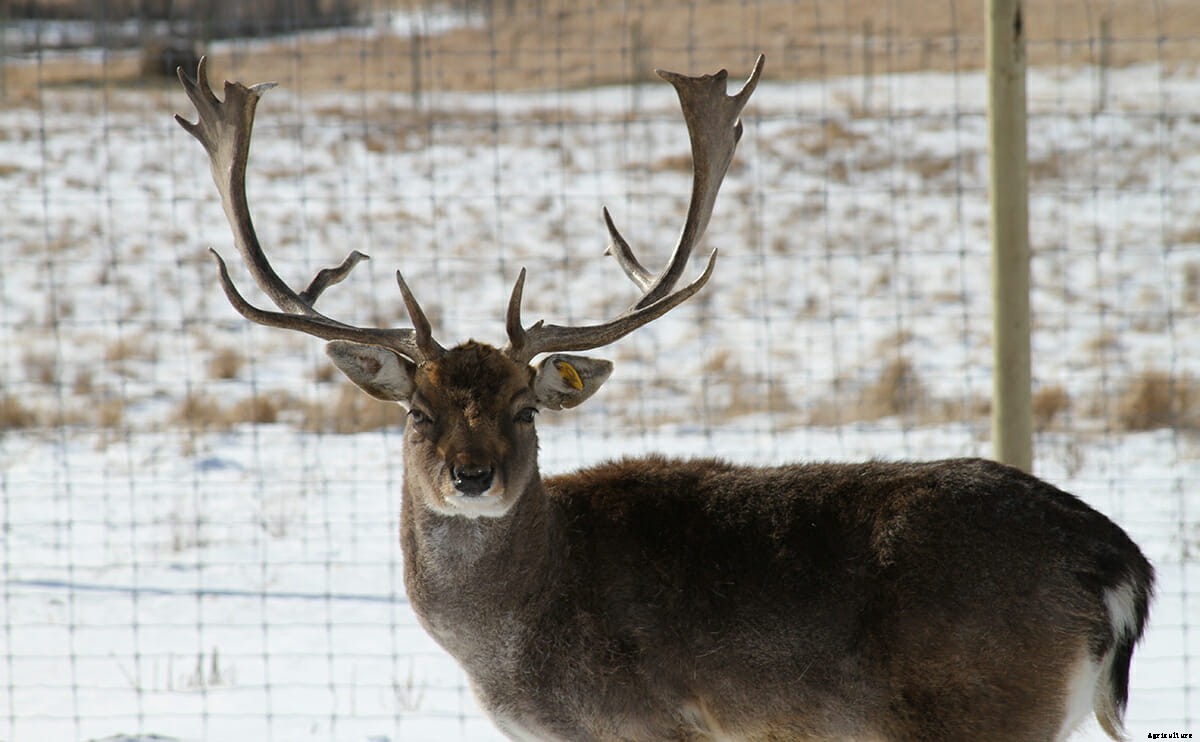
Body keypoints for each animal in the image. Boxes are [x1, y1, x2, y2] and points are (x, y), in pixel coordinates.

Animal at [176, 55, 1153, 742]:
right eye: (417, 412)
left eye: (526, 409)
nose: (473, 477)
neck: (516, 650)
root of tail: (1121, 568)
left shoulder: (652, 723)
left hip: (985, 707)